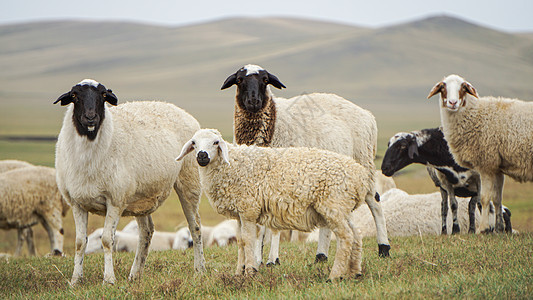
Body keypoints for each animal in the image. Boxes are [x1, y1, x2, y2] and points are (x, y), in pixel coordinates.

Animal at [53, 78, 204, 284]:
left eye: (103, 95)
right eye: (75, 95)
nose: (91, 118)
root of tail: (184, 113)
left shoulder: (115, 200)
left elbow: (107, 240)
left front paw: (109, 279)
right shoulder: (77, 203)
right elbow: (79, 242)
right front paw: (76, 280)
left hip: (189, 180)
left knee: (195, 226)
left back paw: (199, 270)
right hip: (141, 197)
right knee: (147, 231)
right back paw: (135, 274)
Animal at [175, 129, 370, 282]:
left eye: (216, 142)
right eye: (194, 143)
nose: (202, 156)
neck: (231, 166)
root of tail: (360, 176)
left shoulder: (248, 209)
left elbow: (248, 240)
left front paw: (250, 272)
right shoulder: (239, 213)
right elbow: (240, 242)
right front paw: (238, 273)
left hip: (333, 205)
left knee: (346, 237)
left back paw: (335, 275)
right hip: (343, 208)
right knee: (356, 234)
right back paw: (354, 272)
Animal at [428, 74, 532, 233]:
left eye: (463, 87)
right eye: (443, 87)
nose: (452, 102)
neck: (475, 114)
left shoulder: (486, 164)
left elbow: (484, 198)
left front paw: (483, 229)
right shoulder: (497, 167)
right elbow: (497, 199)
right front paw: (499, 229)